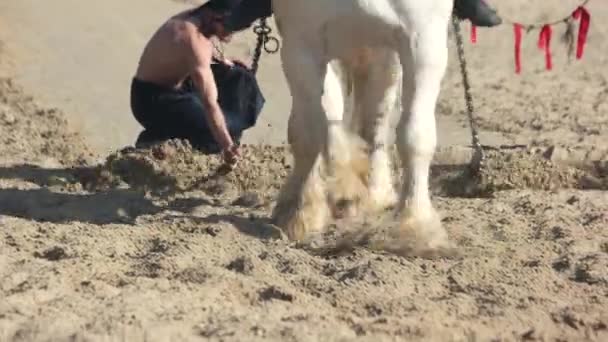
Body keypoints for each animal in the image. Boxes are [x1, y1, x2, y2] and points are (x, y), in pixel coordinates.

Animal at [270, 0, 452, 252]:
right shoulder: (301, 42)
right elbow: (309, 132)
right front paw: (302, 212)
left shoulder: (424, 39)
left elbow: (414, 135)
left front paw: (415, 226)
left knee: (375, 118)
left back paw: (375, 191)